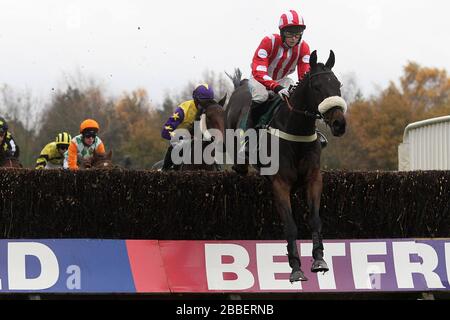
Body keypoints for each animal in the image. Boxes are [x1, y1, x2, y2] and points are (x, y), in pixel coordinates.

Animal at [225, 50, 348, 282]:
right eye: (316, 87)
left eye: (338, 84)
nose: (339, 124)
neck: (296, 131)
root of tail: (241, 85)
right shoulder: (280, 183)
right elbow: (290, 225)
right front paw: (296, 268)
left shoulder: (313, 178)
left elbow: (315, 219)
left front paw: (319, 259)